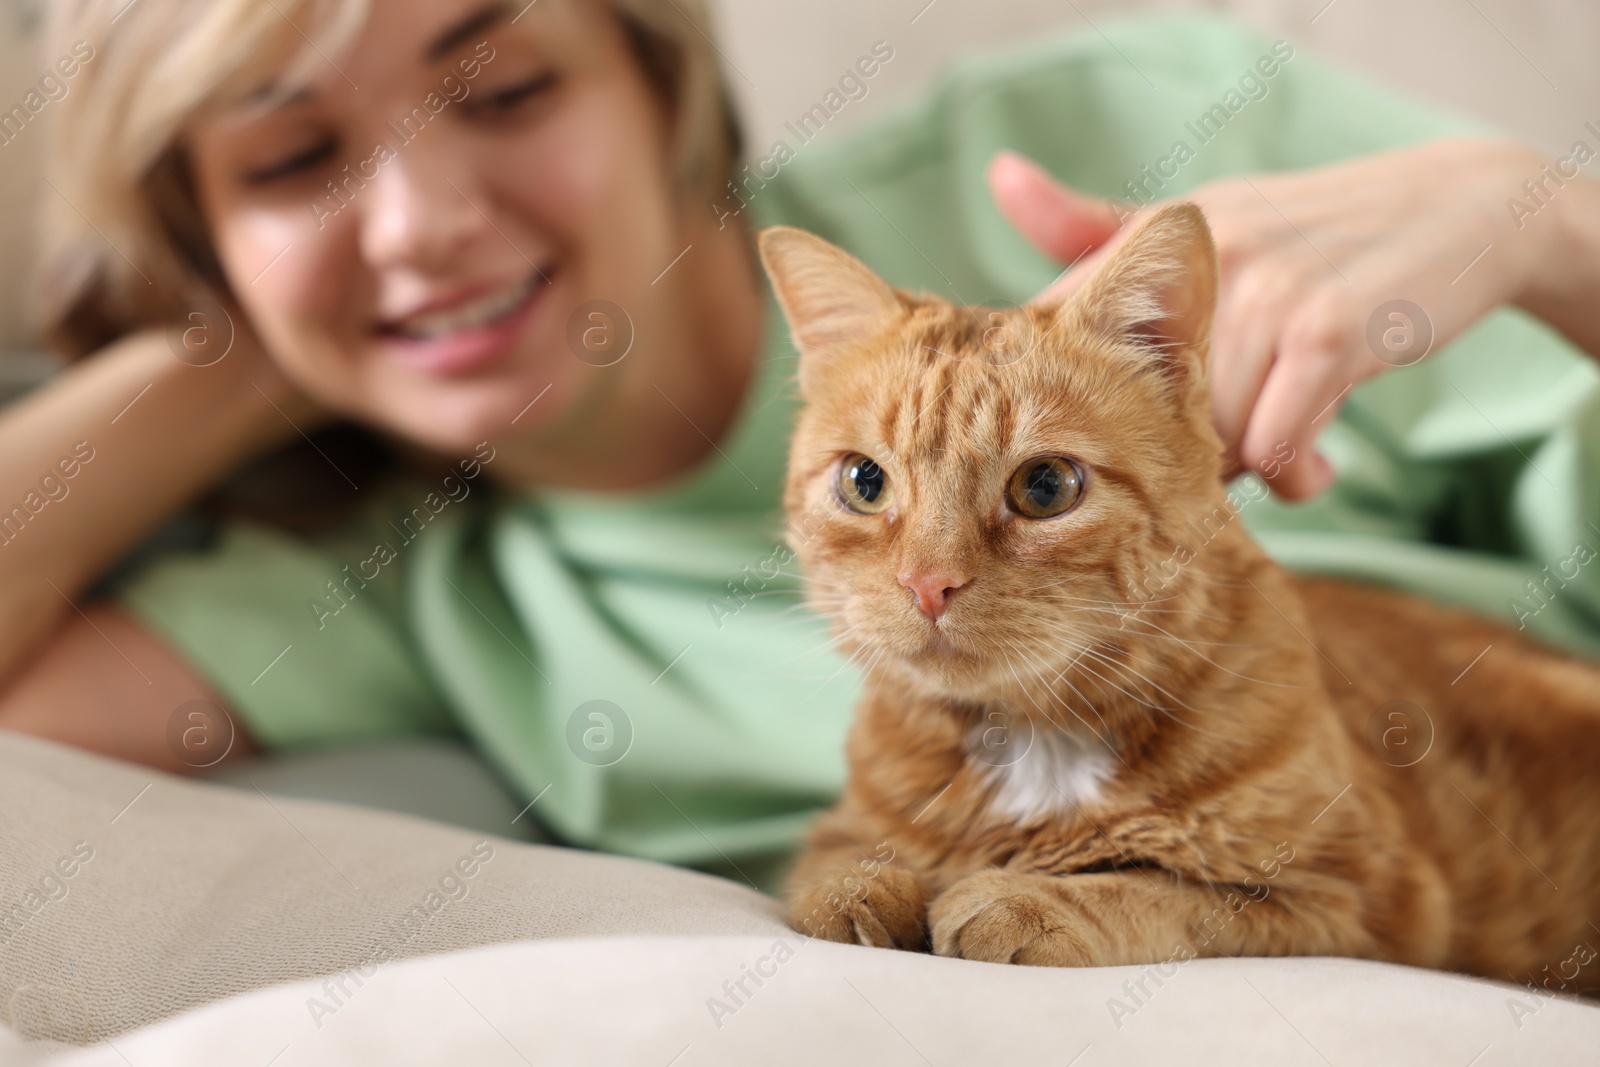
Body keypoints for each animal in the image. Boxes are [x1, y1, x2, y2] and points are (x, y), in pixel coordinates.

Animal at [758, 202, 1600, 991]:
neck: (1034, 740)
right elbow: (827, 868)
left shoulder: (1361, 896)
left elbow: (1164, 891)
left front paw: (1031, 897)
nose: (927, 583)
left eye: (1045, 486)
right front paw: (868, 883)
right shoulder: (834, 833)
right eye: (864, 481)